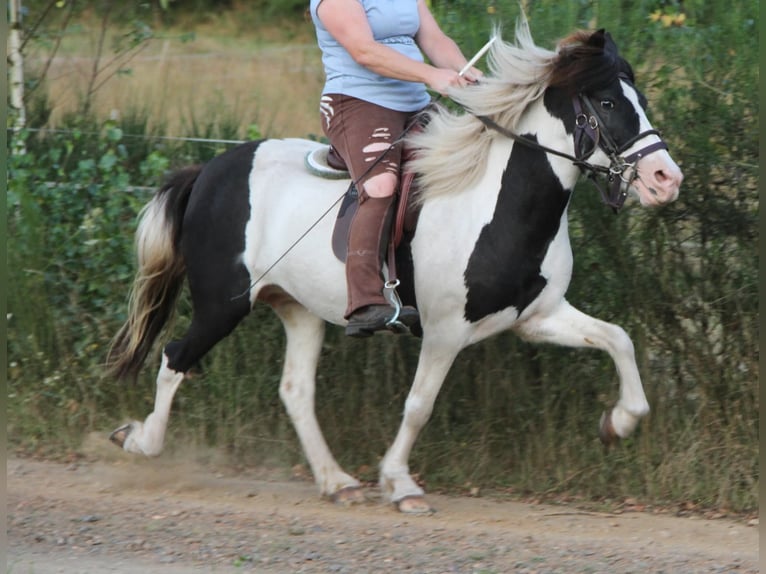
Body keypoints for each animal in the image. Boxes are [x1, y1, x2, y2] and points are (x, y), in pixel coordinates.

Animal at [106, 21, 682, 514]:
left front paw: (618, 423)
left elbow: (619, 340)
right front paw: (401, 484)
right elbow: (419, 405)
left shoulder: (537, 317)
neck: (495, 204)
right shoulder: (445, 331)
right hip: (221, 305)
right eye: (607, 102)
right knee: (175, 357)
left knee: (295, 391)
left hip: (298, 309)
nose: (665, 179)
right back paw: (139, 442)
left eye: (640, 101)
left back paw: (337, 482)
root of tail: (208, 171)